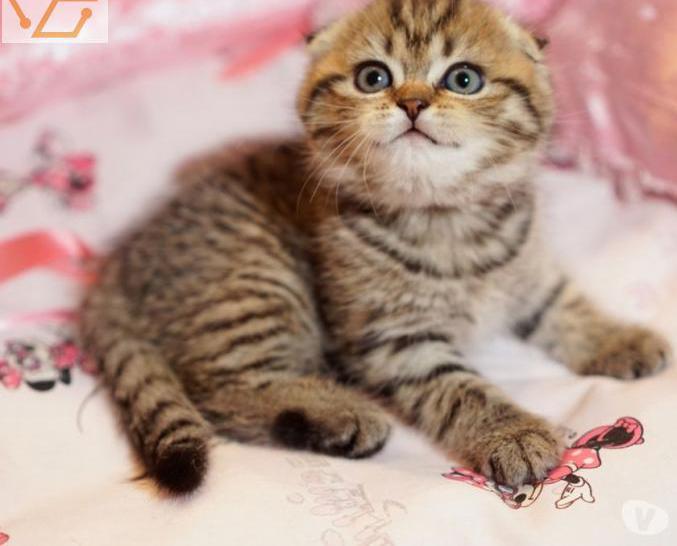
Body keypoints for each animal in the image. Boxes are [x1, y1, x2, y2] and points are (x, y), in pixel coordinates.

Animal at [80, 0, 672, 492]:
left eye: (463, 79)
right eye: (373, 77)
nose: (411, 102)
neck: (445, 218)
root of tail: (117, 266)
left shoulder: (528, 271)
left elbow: (565, 306)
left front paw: (621, 339)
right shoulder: (396, 340)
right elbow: (460, 388)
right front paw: (512, 433)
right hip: (255, 282)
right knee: (220, 391)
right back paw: (340, 415)